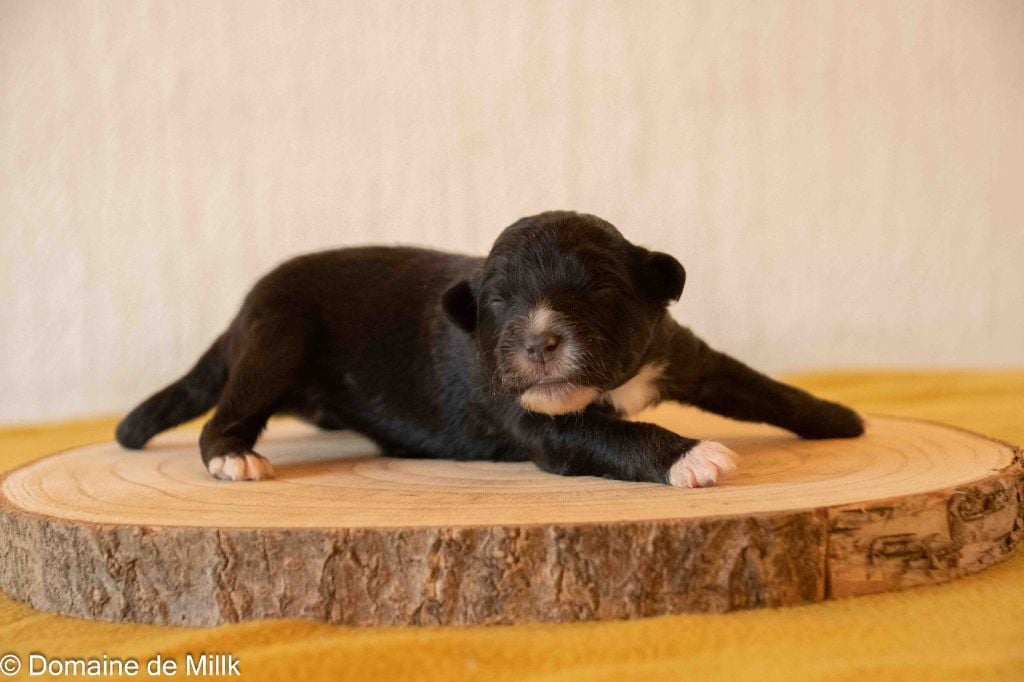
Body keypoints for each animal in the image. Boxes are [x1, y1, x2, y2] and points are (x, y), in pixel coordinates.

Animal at [116, 210, 864, 487]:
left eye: (598, 288)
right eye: (499, 302)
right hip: (276, 338)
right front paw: (693, 455)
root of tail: (243, 309)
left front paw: (840, 418)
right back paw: (232, 456)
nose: (540, 341)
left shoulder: (678, 354)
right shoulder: (544, 425)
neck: (608, 383)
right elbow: (620, 435)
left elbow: (758, 385)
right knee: (225, 412)